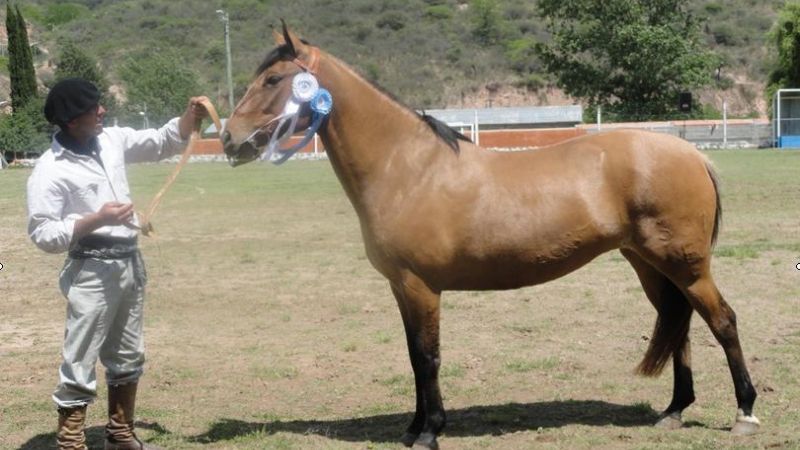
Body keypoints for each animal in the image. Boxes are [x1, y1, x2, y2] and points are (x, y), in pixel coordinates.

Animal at [221, 24, 759, 449]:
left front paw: (430, 431)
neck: (407, 167)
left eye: (273, 79)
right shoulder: (401, 286)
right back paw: (674, 411)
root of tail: (690, 153)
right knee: (680, 321)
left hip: (686, 264)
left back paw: (745, 413)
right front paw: (413, 427)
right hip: (650, 264)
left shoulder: (421, 286)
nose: (229, 139)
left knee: (723, 321)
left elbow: (428, 357)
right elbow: (413, 356)